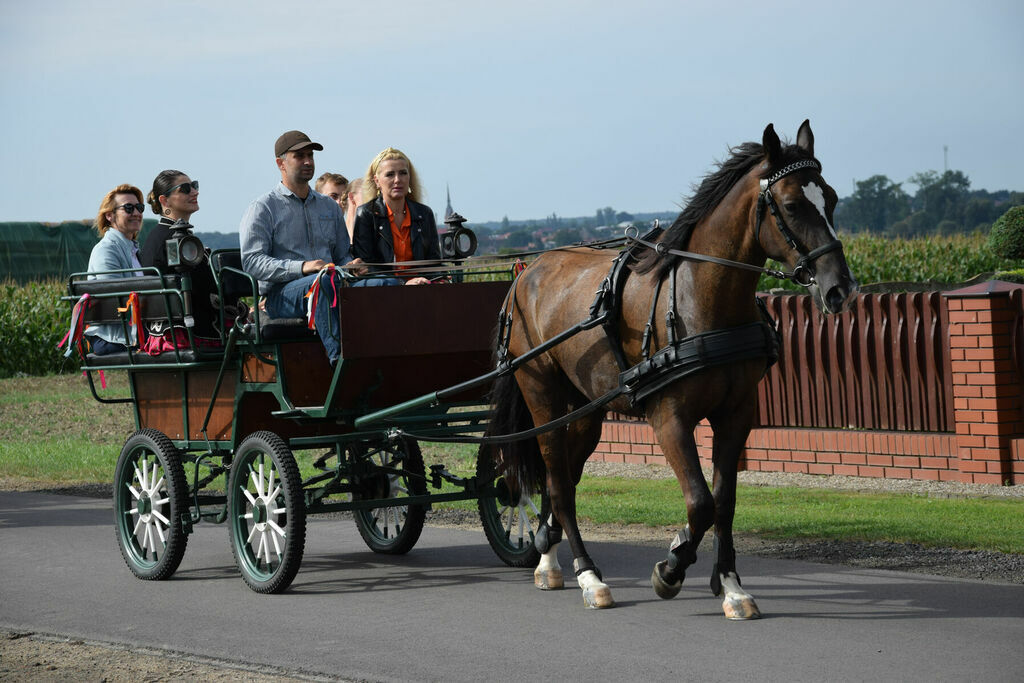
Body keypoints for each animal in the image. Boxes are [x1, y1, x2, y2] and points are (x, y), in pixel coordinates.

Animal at [483, 120, 860, 618]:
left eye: (832, 199)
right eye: (794, 204)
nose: (841, 289)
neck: (701, 300)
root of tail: (526, 272)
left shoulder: (736, 415)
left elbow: (724, 503)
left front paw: (731, 586)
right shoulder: (670, 419)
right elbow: (700, 503)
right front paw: (672, 567)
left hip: (584, 409)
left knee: (561, 478)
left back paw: (547, 555)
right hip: (541, 394)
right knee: (559, 482)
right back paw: (588, 576)